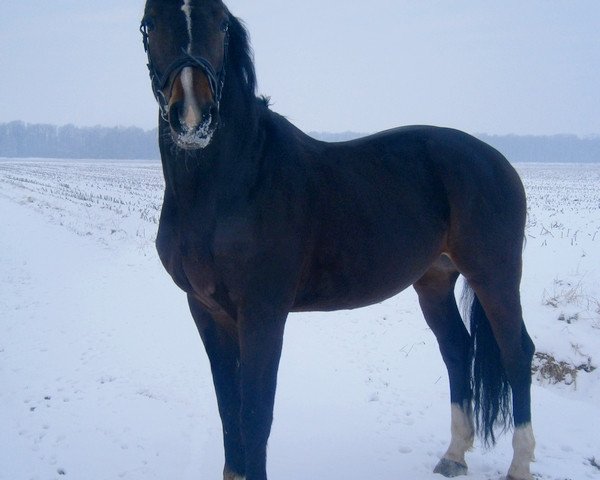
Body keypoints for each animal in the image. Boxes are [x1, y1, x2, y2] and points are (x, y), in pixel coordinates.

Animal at [139, 1, 536, 478]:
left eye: (220, 24)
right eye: (149, 24)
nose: (192, 116)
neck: (229, 185)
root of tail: (497, 161)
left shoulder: (262, 314)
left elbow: (255, 413)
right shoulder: (205, 310)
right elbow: (228, 407)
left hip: (493, 275)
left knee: (517, 354)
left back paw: (519, 464)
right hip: (435, 280)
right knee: (458, 349)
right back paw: (454, 455)